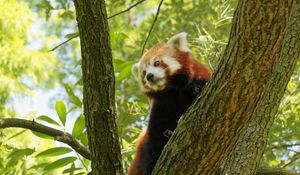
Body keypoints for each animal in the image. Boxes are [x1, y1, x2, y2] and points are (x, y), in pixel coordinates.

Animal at [128, 32, 211, 175]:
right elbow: (155, 140)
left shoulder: (200, 81)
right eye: (143, 72)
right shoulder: (162, 107)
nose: (149, 76)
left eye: (157, 62)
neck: (173, 90)